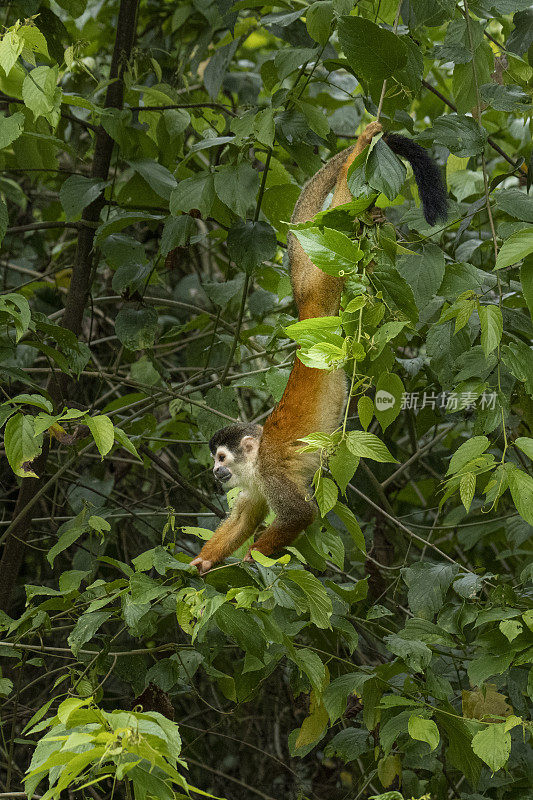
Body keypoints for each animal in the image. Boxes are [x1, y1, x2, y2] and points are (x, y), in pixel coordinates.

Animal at [189, 120, 446, 576]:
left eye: (221, 457)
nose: (214, 472)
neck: (255, 461)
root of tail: (306, 317)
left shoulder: (271, 472)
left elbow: (300, 514)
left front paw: (253, 559)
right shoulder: (255, 483)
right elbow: (245, 516)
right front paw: (203, 562)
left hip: (327, 283)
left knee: (343, 203)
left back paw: (360, 151)